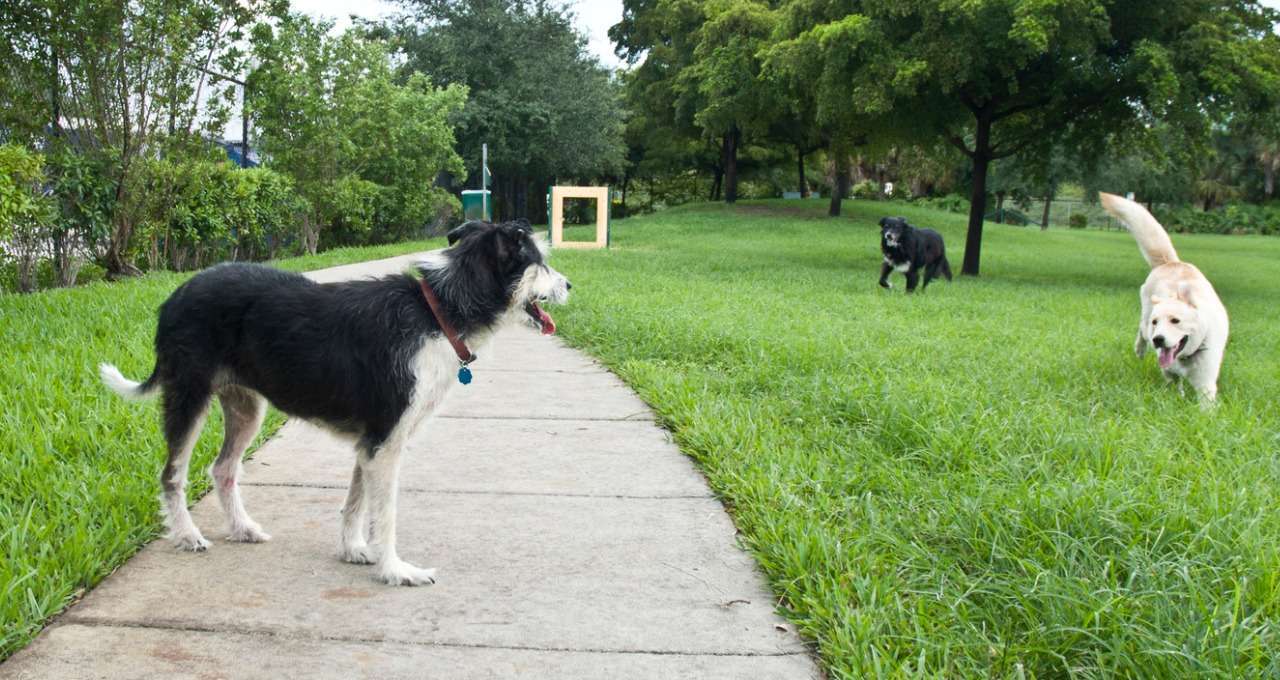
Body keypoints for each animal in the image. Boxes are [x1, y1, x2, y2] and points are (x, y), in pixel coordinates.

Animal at [102, 220, 573, 589]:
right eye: (540, 261)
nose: (570, 285)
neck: (439, 312)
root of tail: (176, 294)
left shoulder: (373, 442)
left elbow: (356, 502)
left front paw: (353, 549)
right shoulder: (386, 441)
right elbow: (385, 513)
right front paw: (395, 570)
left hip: (245, 406)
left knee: (223, 469)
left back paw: (242, 528)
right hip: (189, 395)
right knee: (172, 474)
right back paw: (186, 535)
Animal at [1100, 192, 1228, 404]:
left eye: (1176, 321)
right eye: (1156, 322)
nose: (1158, 339)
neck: (1185, 356)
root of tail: (1171, 262)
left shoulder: (1206, 382)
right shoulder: (1167, 369)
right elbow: (1172, 384)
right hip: (1145, 321)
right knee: (1141, 331)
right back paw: (1140, 349)